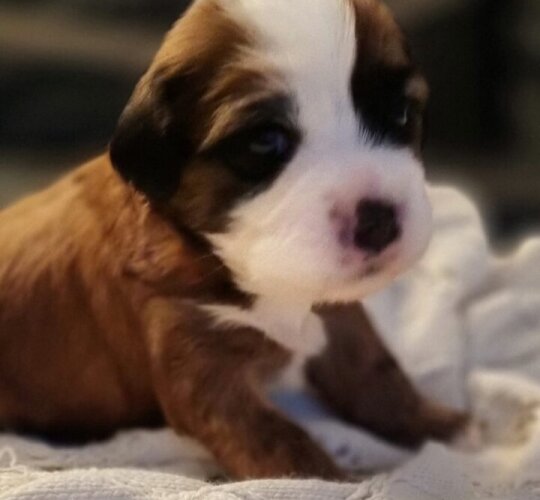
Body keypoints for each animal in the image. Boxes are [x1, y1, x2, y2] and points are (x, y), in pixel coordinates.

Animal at [0, 0, 464, 480]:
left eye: (401, 113)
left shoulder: (338, 314)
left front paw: (445, 425)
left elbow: (374, 371)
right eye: (264, 142)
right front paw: (337, 479)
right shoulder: (207, 373)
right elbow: (285, 445)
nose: (379, 222)